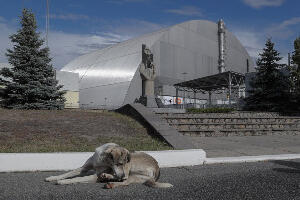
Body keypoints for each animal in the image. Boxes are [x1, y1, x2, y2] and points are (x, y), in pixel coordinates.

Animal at [44, 143, 172, 188]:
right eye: (119, 163)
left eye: (123, 163)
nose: (121, 174)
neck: (101, 160)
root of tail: (157, 168)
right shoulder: (84, 168)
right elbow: (68, 173)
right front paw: (53, 177)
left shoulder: (94, 175)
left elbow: (77, 179)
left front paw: (62, 182)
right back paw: (107, 177)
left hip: (133, 164)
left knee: (125, 181)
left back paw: (110, 183)